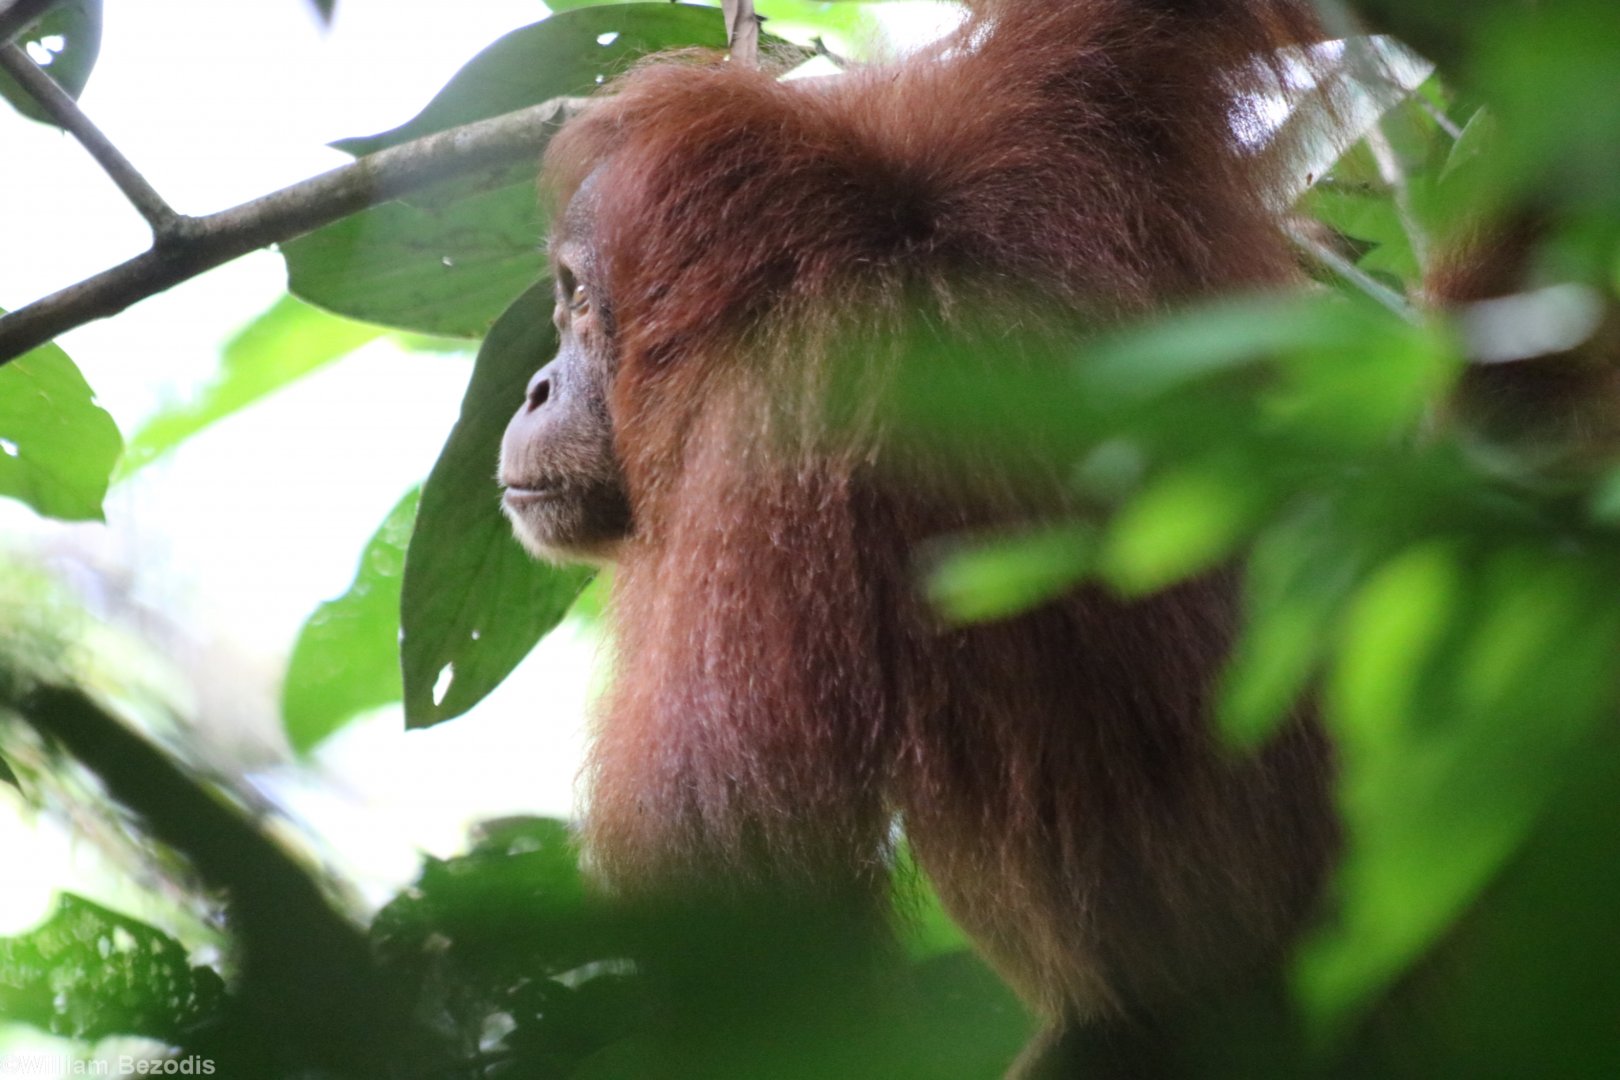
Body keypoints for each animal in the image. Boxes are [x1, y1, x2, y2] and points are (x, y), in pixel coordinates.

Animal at [498, 0, 1340, 1071]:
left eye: (573, 297)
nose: (533, 390)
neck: (880, 252)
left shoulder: (765, 449)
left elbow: (752, 914)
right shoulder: (1057, 121)